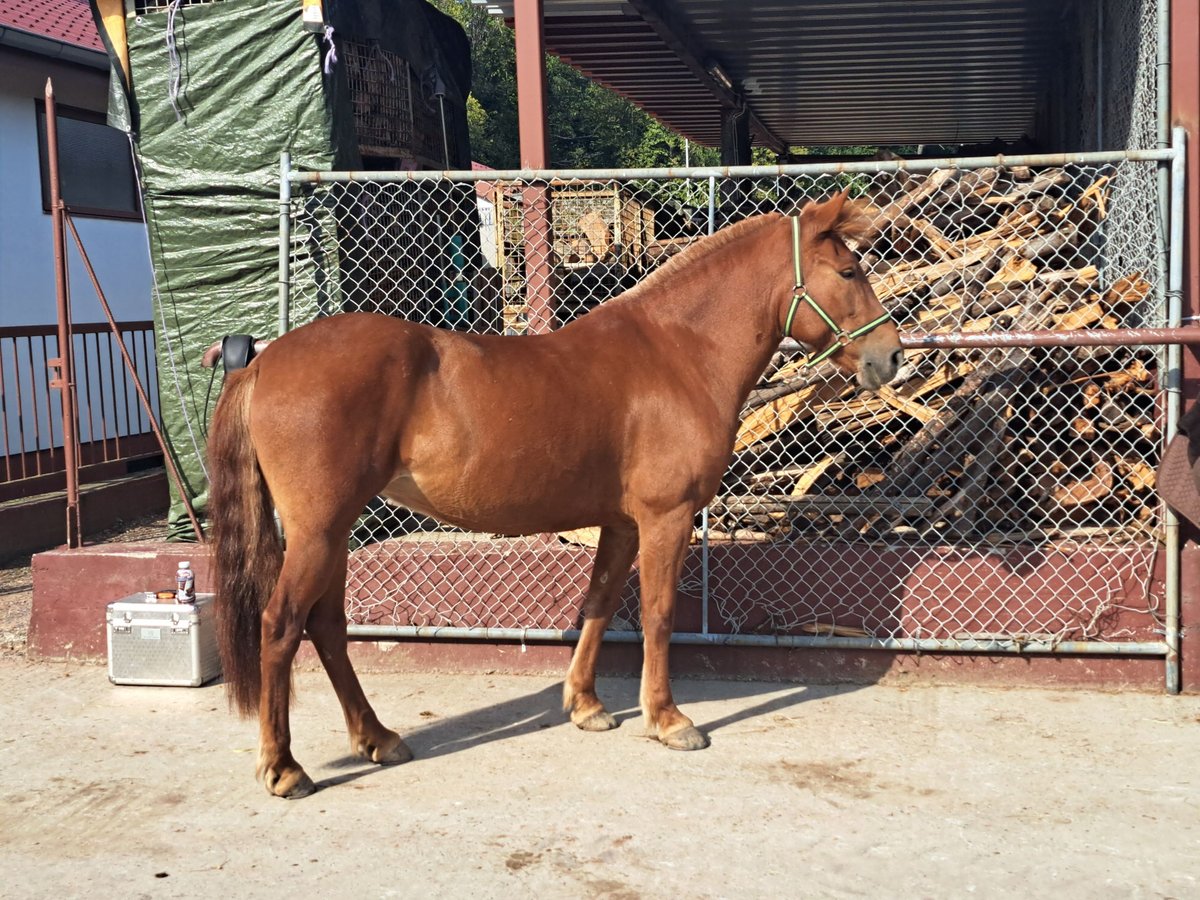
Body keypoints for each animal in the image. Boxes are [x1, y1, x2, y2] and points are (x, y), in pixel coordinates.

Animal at [208, 190, 902, 796]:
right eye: (848, 270)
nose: (890, 355)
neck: (678, 352)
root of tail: (264, 360)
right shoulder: (666, 518)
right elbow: (658, 615)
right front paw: (668, 719)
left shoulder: (621, 524)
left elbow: (599, 607)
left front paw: (587, 706)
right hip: (318, 531)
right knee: (281, 624)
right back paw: (285, 768)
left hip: (333, 531)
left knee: (325, 626)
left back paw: (377, 738)